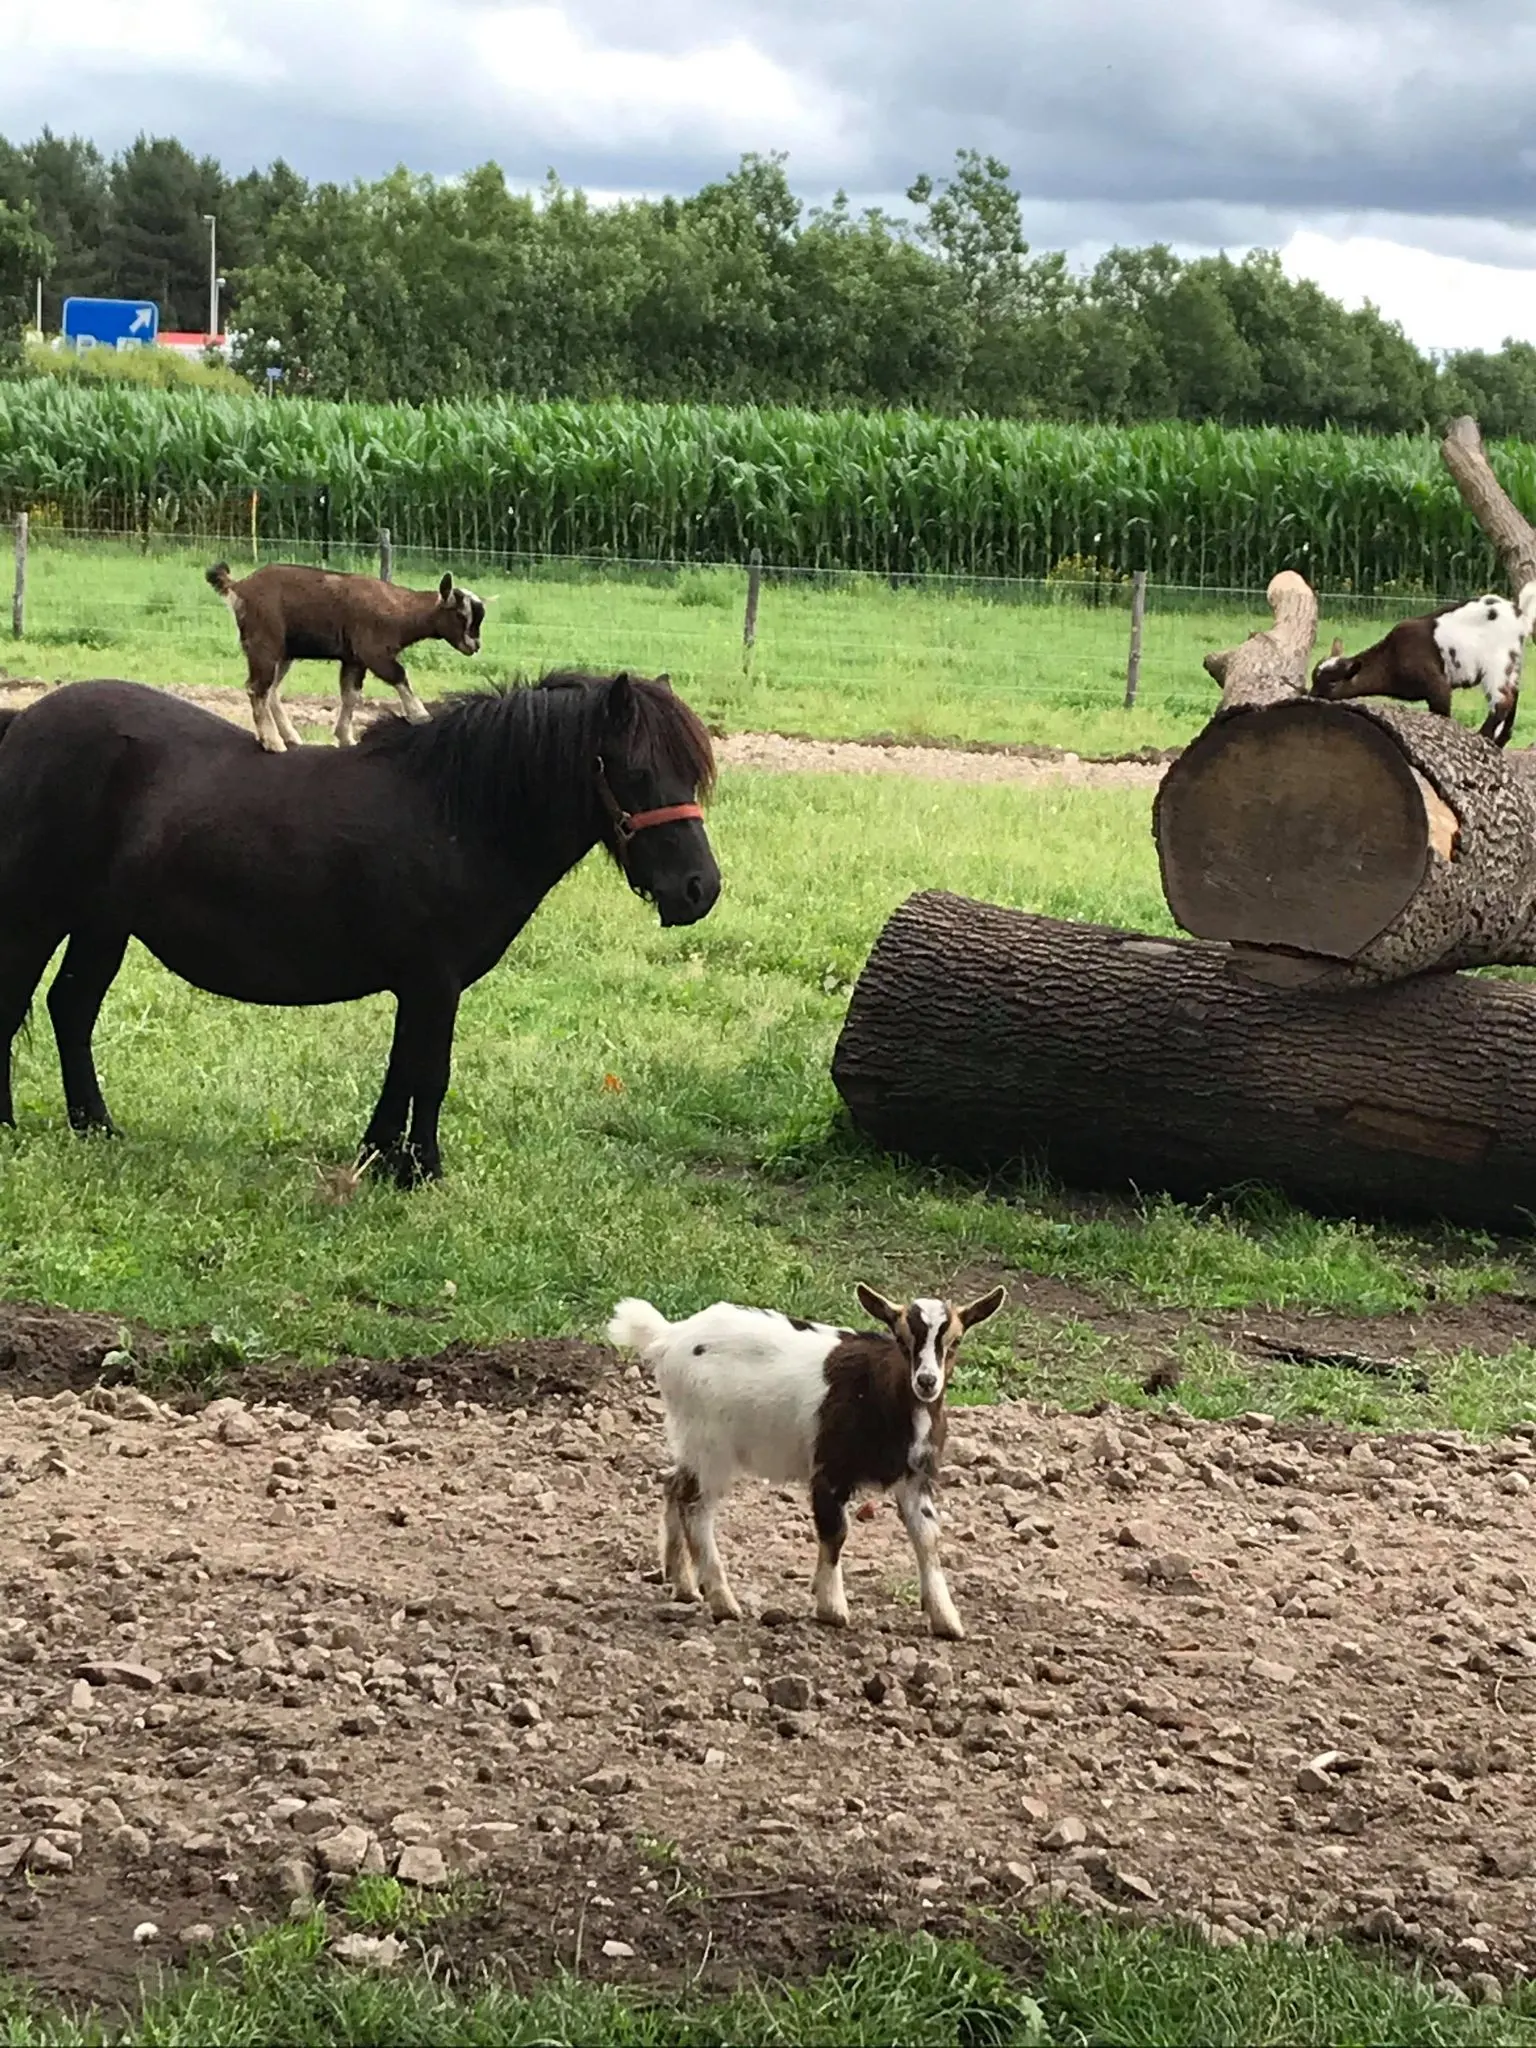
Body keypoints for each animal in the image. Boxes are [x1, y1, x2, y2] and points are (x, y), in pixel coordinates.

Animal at [0, 669, 721, 1186]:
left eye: (691, 773)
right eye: (636, 772)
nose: (700, 890)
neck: (456, 815)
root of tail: (23, 723)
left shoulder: (421, 985)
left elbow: (403, 1070)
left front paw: (380, 1158)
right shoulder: (435, 982)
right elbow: (430, 1073)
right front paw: (422, 1169)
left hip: (102, 924)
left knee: (71, 1009)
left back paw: (96, 1127)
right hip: (35, 916)